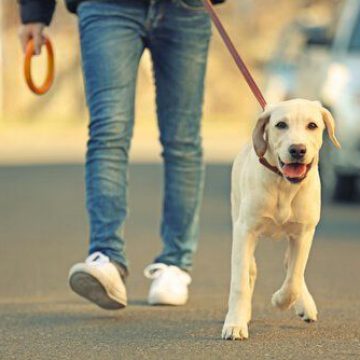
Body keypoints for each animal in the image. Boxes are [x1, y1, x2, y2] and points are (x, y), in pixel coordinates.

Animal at [222, 99, 340, 340]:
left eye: (312, 125)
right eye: (280, 125)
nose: (297, 150)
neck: (284, 186)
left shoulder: (304, 233)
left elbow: (294, 277)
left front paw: (280, 300)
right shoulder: (245, 230)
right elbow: (240, 281)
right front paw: (235, 323)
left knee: (292, 266)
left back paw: (305, 304)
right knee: (250, 268)